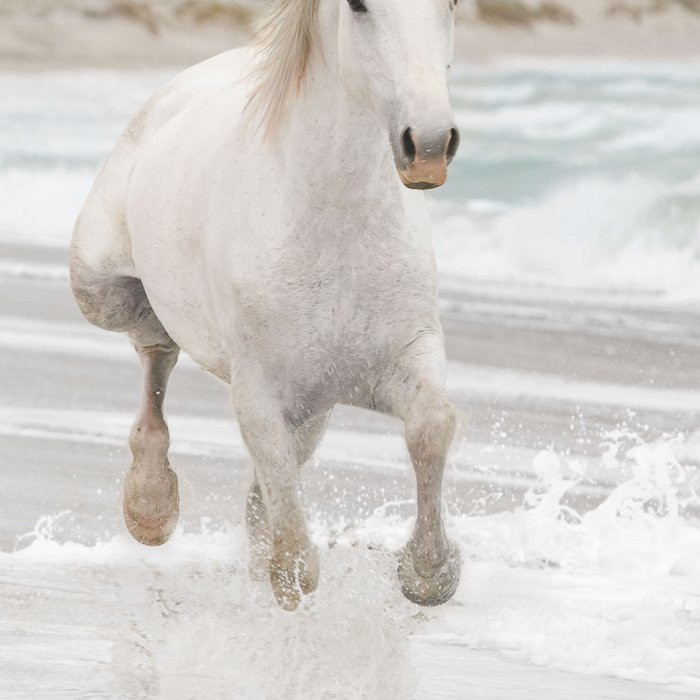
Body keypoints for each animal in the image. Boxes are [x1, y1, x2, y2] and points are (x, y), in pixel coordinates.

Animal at [70, 0, 462, 611]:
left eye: (452, 5)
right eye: (359, 6)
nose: (428, 145)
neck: (333, 225)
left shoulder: (405, 355)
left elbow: (431, 426)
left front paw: (428, 573)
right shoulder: (259, 394)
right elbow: (295, 554)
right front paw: (284, 575)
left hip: (316, 411)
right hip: (98, 289)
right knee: (154, 345)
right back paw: (150, 506)